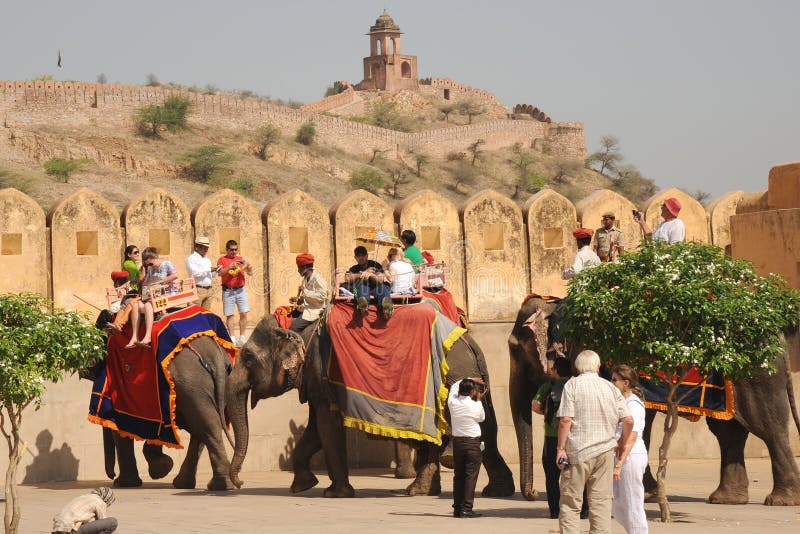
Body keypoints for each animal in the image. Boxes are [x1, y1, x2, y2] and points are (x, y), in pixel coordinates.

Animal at [228, 316, 516, 500]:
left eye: (248, 358)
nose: (239, 483)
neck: (300, 330)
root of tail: (469, 343)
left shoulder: (320, 372)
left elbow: (326, 427)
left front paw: (334, 494)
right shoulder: (315, 381)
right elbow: (315, 430)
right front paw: (301, 487)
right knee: (486, 429)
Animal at [506, 298, 800, 506]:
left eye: (514, 348)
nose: (533, 493)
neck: (557, 305)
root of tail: (777, 333)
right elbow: (639, 422)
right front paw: (648, 493)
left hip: (756, 373)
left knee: (766, 426)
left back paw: (780, 501)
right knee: (729, 432)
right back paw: (726, 499)